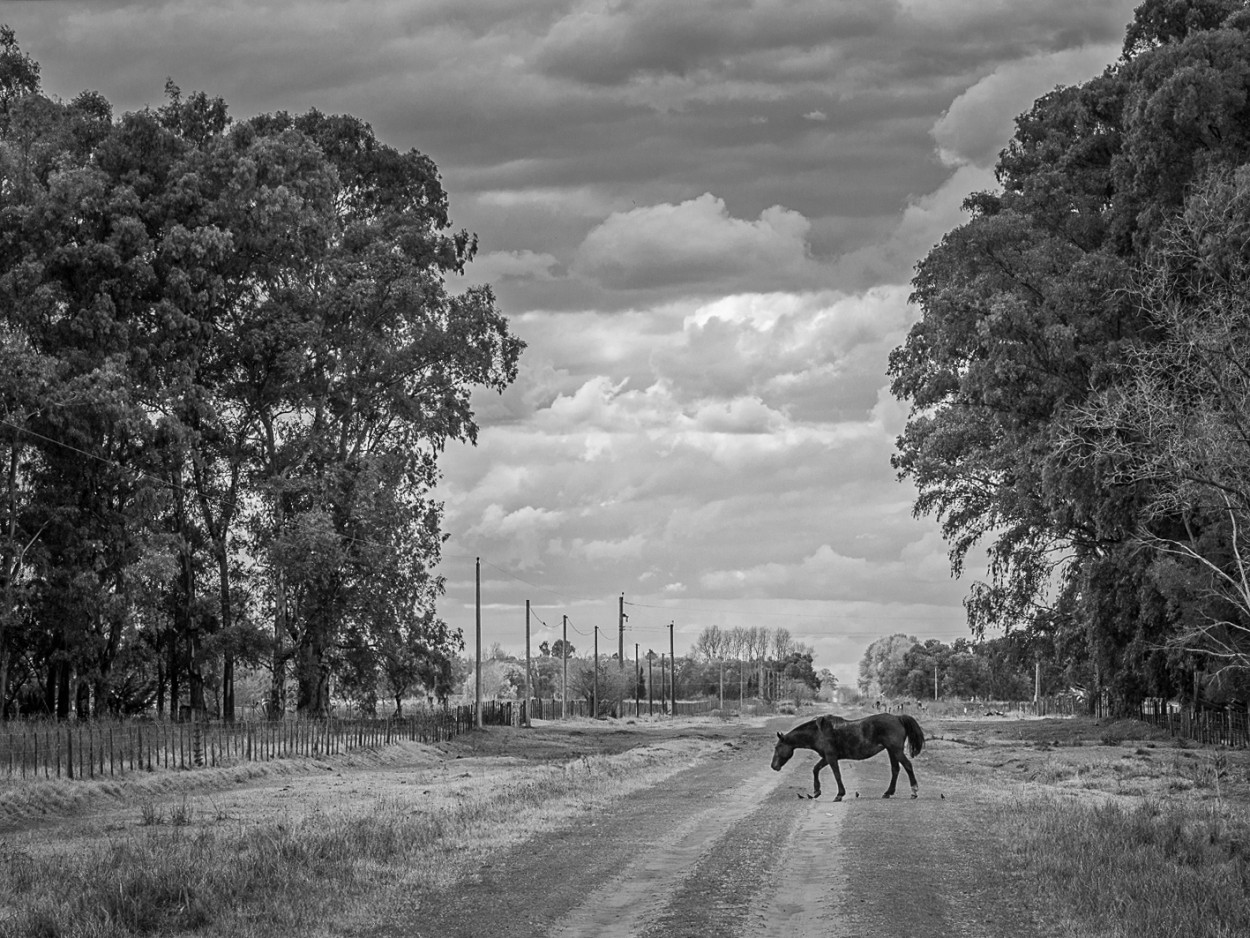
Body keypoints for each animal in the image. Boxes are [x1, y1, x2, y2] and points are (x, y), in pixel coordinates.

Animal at [770, 715, 930, 805]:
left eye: (777, 747)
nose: (773, 766)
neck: (819, 732)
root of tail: (898, 718)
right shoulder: (826, 757)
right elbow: (815, 769)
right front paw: (816, 791)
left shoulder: (831, 757)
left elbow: (837, 775)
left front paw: (839, 794)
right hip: (891, 751)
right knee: (895, 769)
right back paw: (888, 792)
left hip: (896, 750)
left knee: (907, 766)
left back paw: (914, 791)